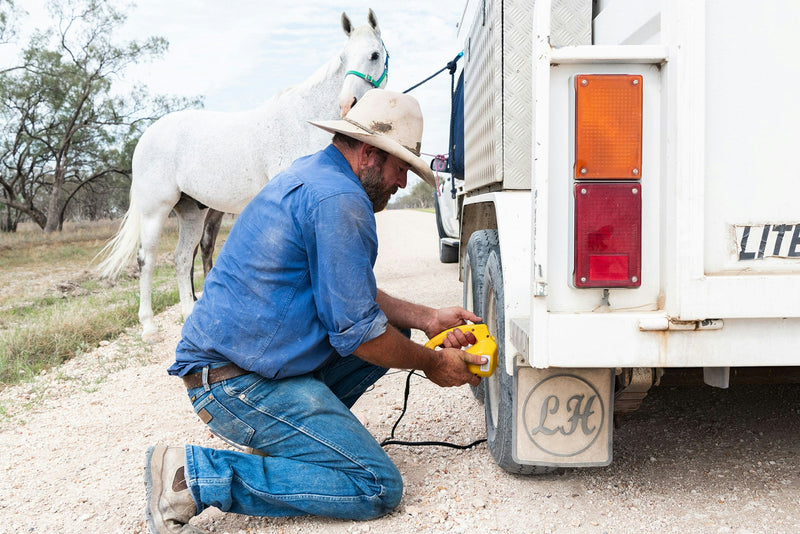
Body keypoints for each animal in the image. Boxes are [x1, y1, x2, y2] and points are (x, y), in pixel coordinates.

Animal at [98, 9, 386, 344]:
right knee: (147, 259)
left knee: (182, 258)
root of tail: (147, 135)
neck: (305, 120)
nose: (347, 104)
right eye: (343, 57)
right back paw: (148, 327)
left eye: (374, 55)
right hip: (154, 211)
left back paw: (188, 315)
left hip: (192, 212)